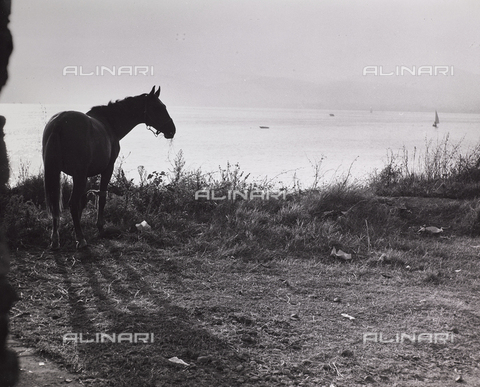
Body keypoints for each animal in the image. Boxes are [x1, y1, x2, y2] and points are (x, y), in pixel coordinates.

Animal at [42, 86, 175, 250]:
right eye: (158, 107)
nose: (172, 129)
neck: (109, 123)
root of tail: (59, 123)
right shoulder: (107, 169)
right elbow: (101, 197)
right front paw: (99, 227)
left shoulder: (86, 175)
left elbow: (84, 199)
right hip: (77, 175)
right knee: (71, 203)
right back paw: (81, 239)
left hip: (56, 172)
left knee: (56, 204)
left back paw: (55, 239)